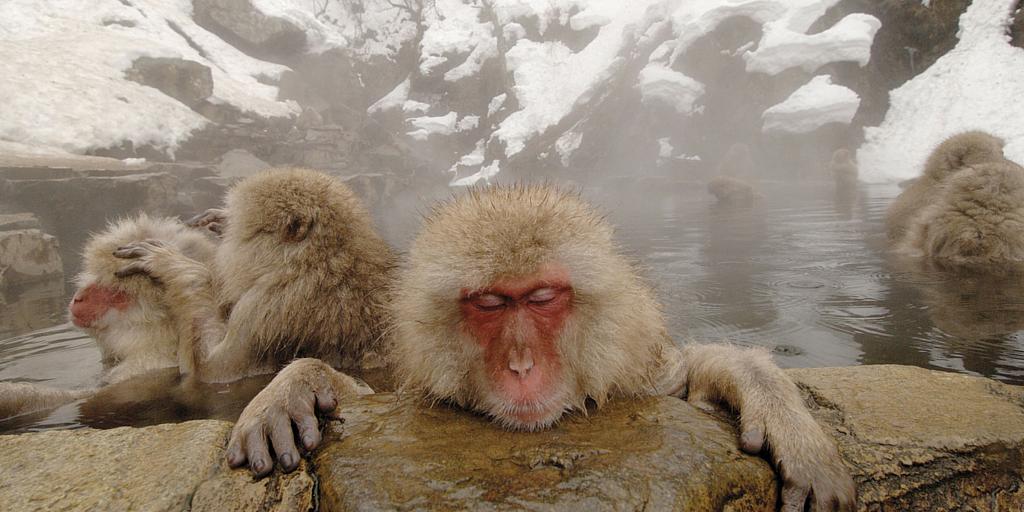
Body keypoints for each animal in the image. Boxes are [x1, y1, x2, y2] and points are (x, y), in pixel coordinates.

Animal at [224, 185, 855, 511]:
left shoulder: (637, 370)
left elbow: (684, 380)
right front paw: (296, 387)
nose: (521, 364)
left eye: (543, 297)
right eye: (491, 303)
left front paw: (781, 416)